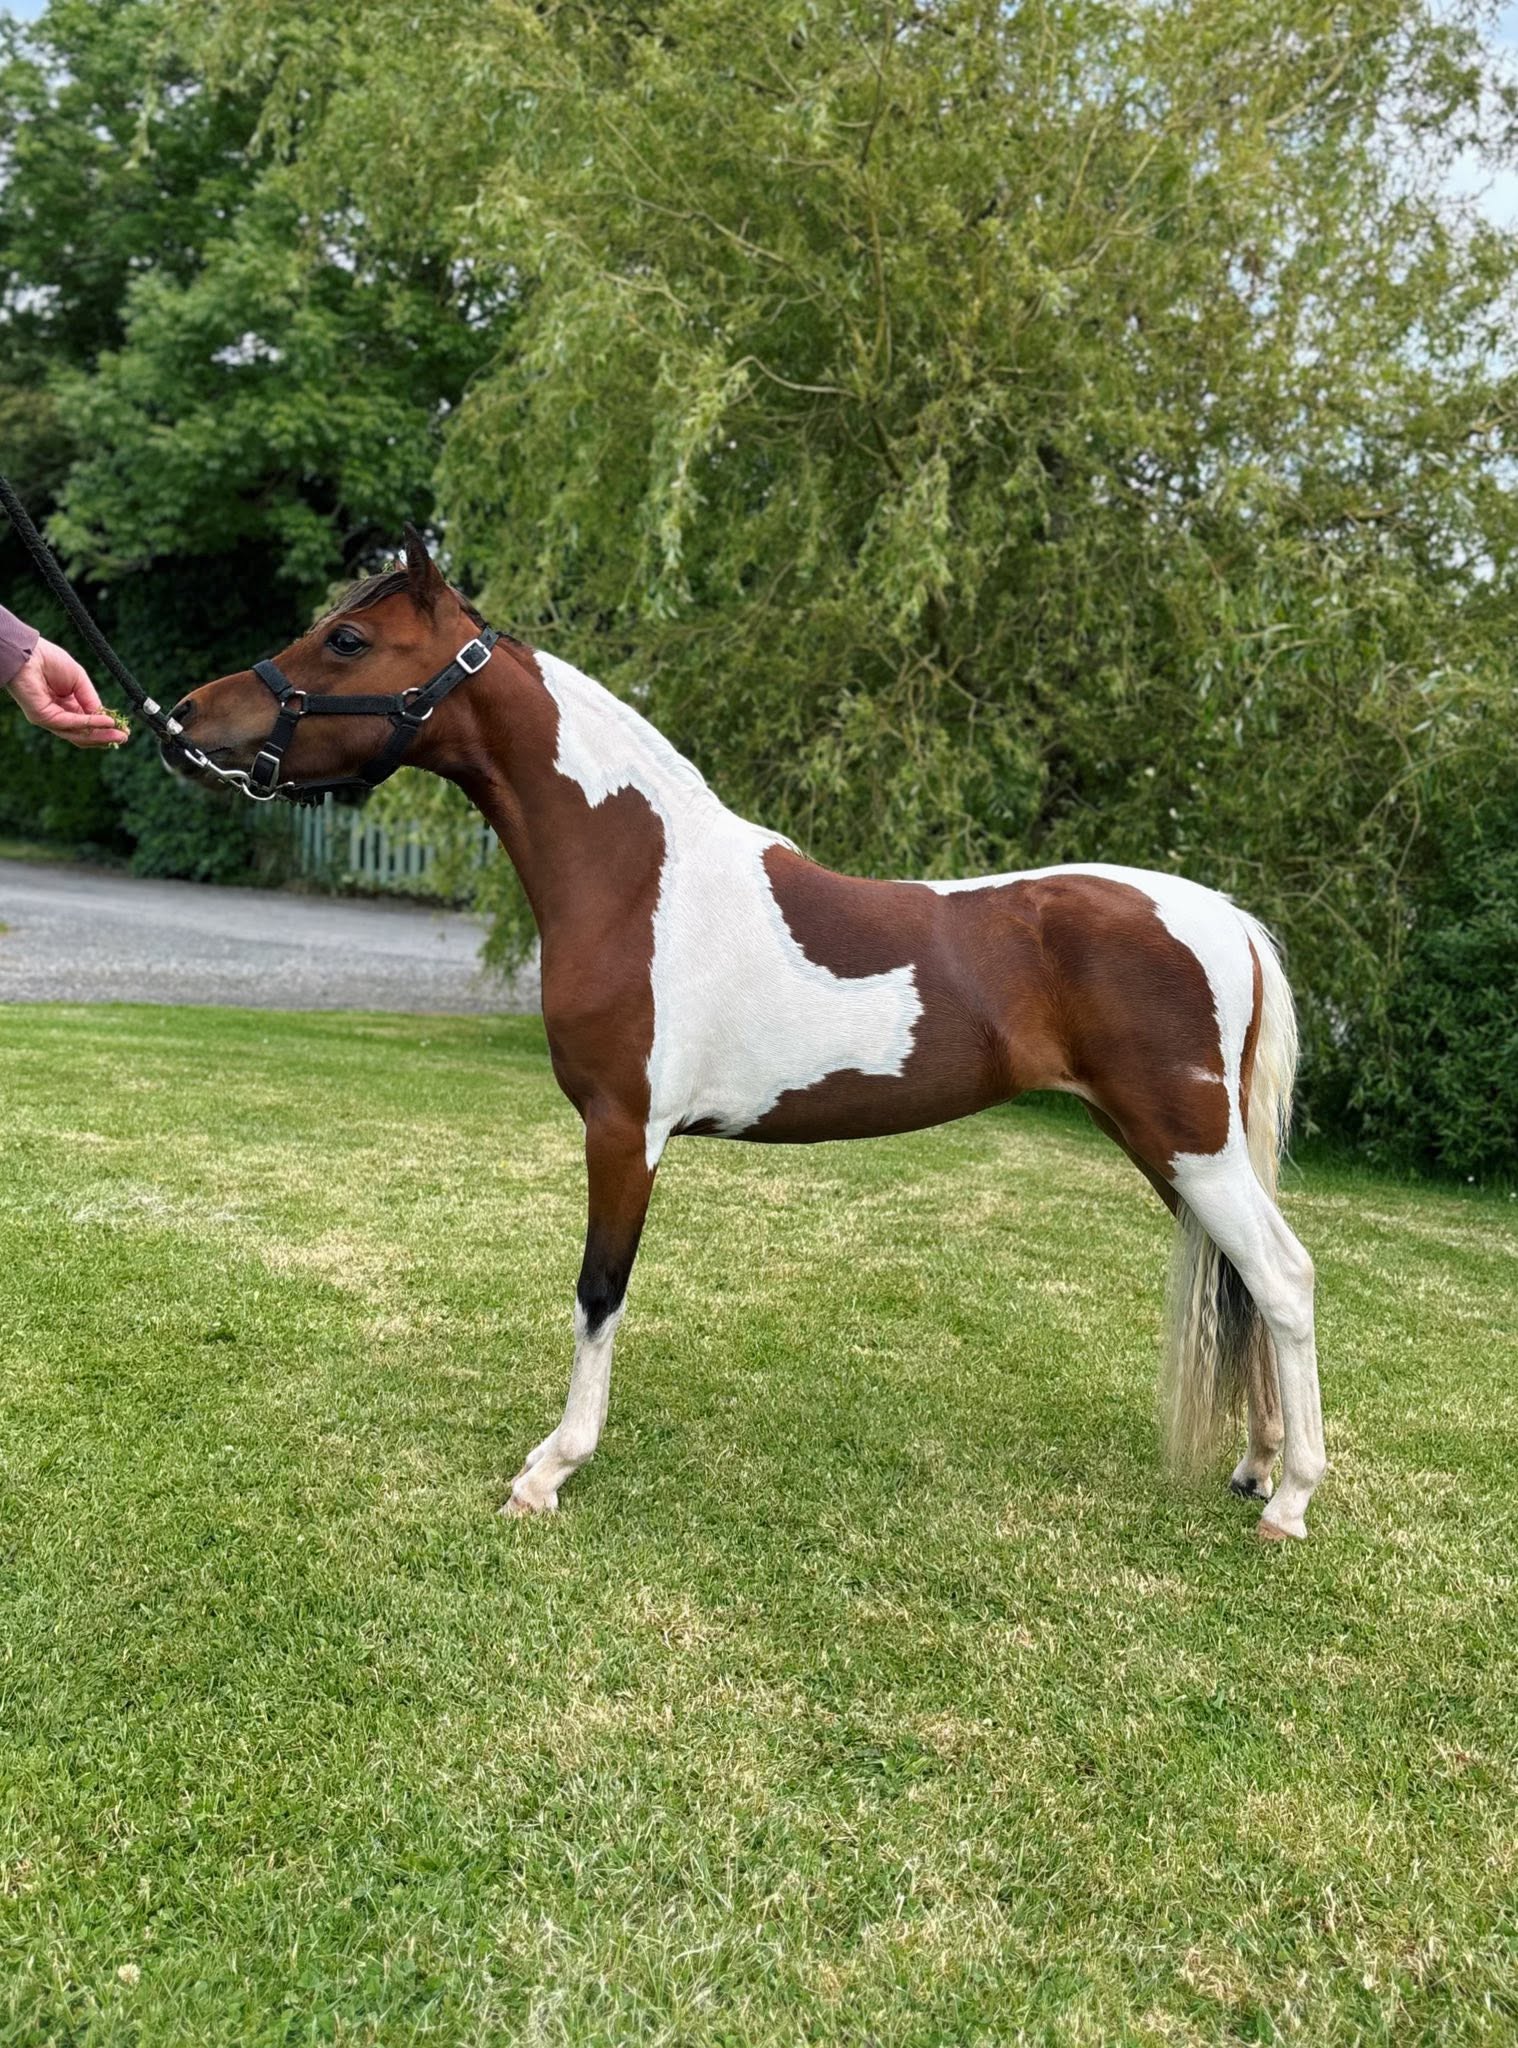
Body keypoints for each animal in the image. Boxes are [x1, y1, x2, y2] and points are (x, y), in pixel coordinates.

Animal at [164, 529, 1326, 1540]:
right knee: (1249, 1288)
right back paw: (1256, 1464)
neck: (640, 876)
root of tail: (1226, 919)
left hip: (1188, 1144)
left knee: (1283, 1278)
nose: (181, 722)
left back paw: (1291, 1501)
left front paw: (550, 1470)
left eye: (348, 640)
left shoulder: (624, 1130)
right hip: (1172, 1151)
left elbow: (598, 1292)